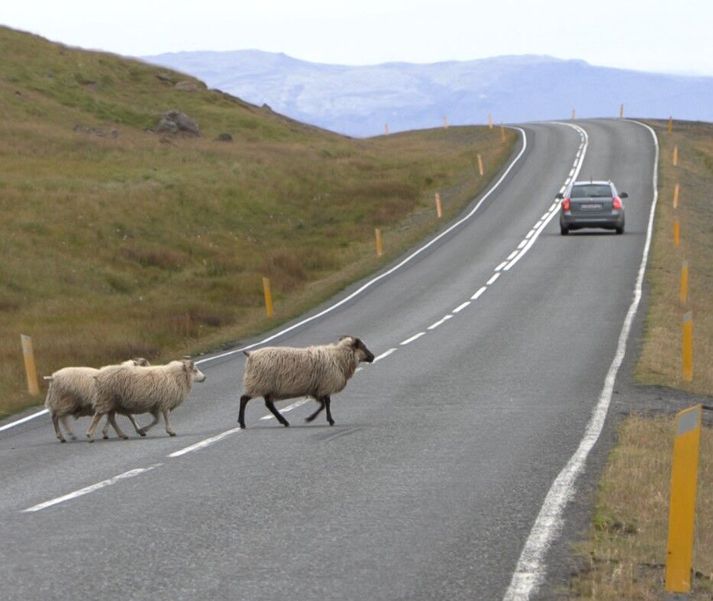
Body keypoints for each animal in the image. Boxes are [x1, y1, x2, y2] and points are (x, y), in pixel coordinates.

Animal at [238, 336, 372, 428]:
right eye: (363, 347)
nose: (373, 357)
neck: (338, 357)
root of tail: (251, 354)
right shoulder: (324, 385)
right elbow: (326, 404)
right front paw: (321, 419)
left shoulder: (317, 388)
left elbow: (323, 404)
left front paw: (315, 418)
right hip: (258, 383)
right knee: (244, 399)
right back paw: (242, 423)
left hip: (265, 386)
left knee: (269, 405)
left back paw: (284, 421)